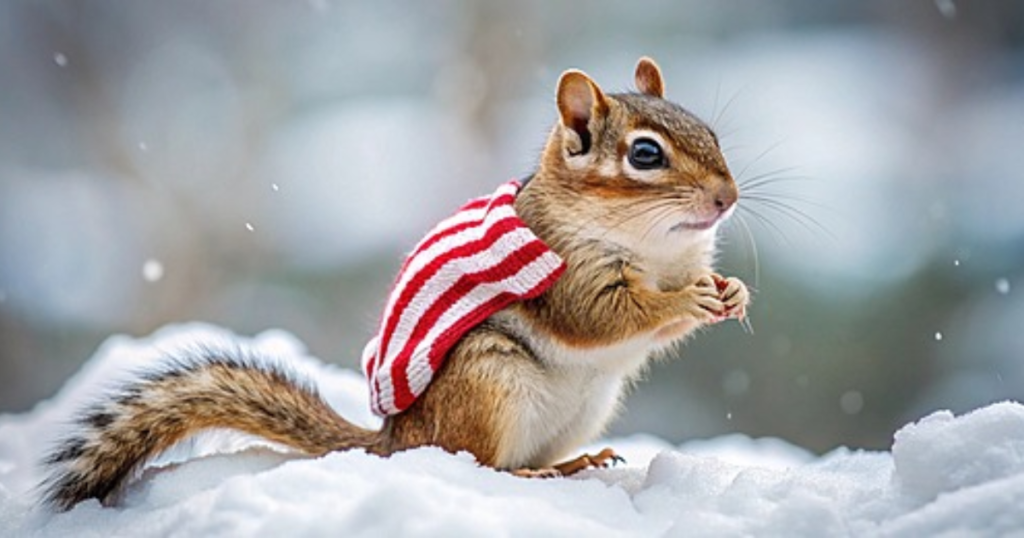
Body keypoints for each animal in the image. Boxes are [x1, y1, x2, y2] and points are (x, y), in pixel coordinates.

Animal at [40, 57, 749, 510]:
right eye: (646, 155)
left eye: (711, 133)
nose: (728, 197)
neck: (658, 247)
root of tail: (393, 443)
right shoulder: (564, 278)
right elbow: (606, 319)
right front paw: (684, 300)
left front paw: (731, 291)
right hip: (490, 380)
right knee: (485, 463)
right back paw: (544, 474)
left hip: (587, 405)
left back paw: (576, 461)